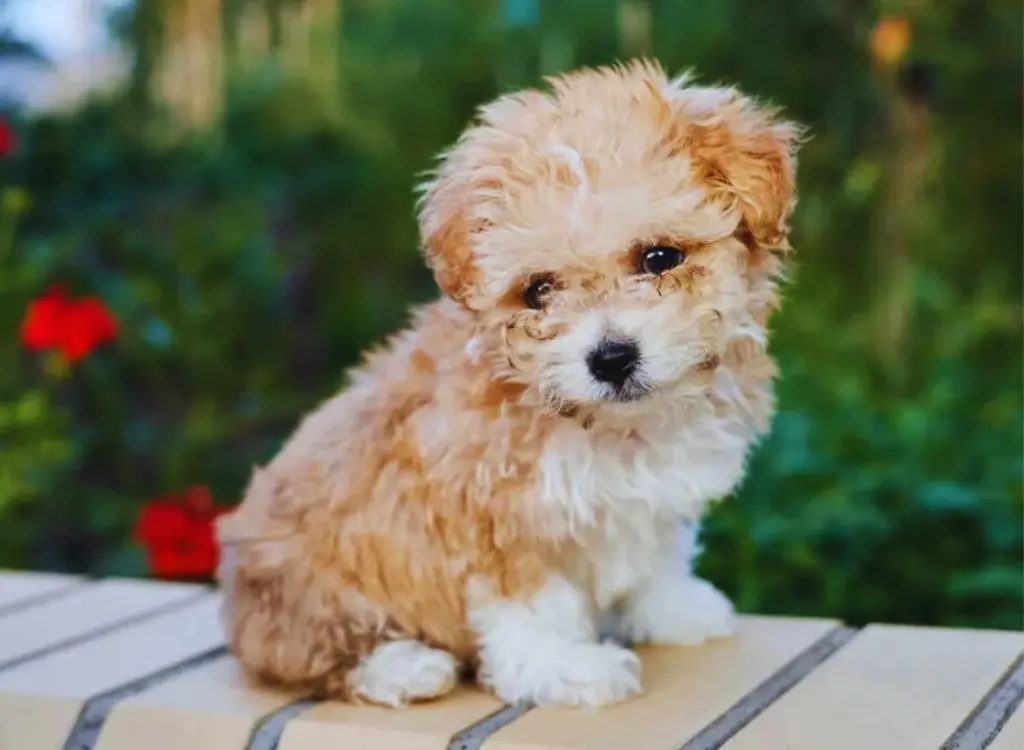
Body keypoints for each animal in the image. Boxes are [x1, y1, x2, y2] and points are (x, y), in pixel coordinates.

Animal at [216, 58, 802, 709]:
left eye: (659, 258)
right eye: (538, 291)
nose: (611, 358)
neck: (617, 429)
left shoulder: (653, 500)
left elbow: (657, 554)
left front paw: (676, 609)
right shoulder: (498, 517)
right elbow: (535, 609)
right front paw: (569, 668)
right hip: (304, 589)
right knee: (310, 657)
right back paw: (404, 666)